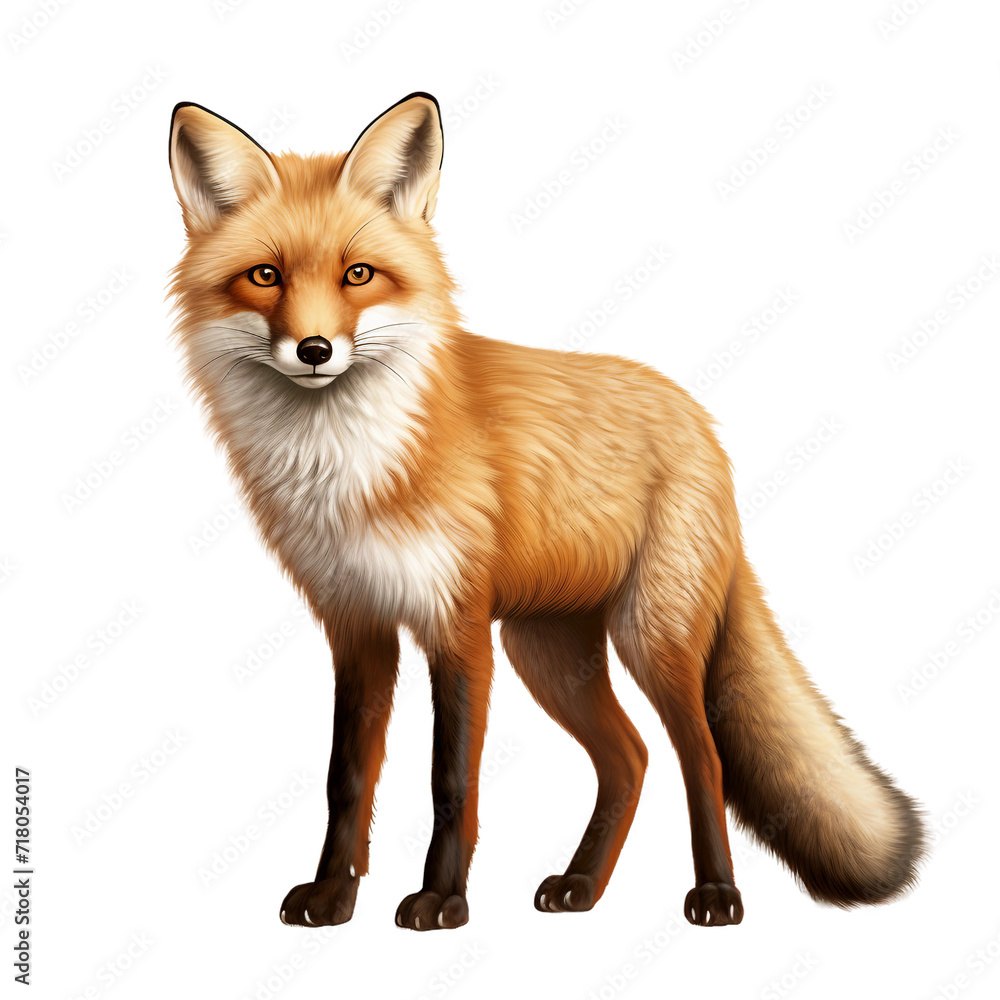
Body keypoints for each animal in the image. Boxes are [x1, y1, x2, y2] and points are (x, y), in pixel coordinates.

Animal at [167, 92, 925, 931]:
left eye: (357, 274)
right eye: (264, 276)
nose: (313, 349)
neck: (347, 472)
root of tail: (700, 421)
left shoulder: (458, 626)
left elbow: (450, 781)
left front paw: (442, 899)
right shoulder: (357, 625)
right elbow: (346, 781)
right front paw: (333, 895)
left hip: (648, 638)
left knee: (700, 756)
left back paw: (716, 894)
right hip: (549, 653)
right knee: (631, 757)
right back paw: (582, 886)